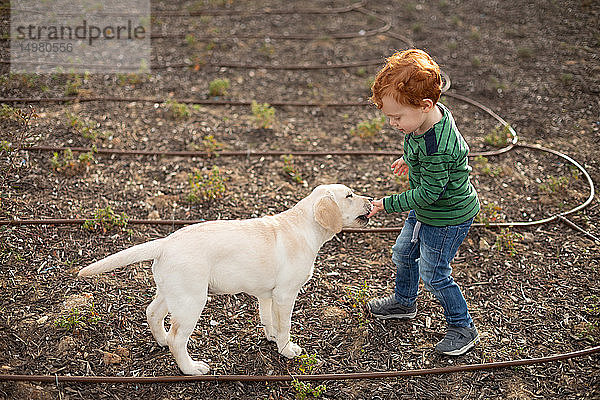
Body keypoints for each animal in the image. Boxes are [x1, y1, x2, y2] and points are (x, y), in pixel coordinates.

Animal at [78, 184, 370, 376]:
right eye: (349, 196)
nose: (371, 199)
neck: (305, 225)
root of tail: (165, 242)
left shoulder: (268, 294)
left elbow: (269, 319)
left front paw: (272, 338)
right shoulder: (286, 294)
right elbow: (285, 325)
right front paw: (287, 350)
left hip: (173, 292)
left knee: (153, 313)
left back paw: (161, 341)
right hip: (192, 300)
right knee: (177, 338)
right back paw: (192, 368)